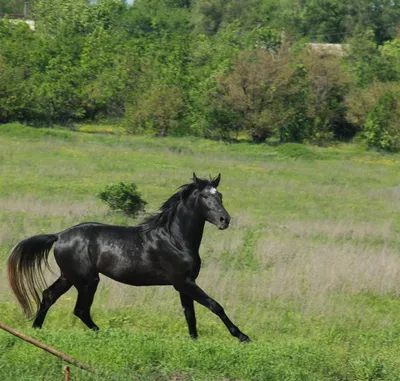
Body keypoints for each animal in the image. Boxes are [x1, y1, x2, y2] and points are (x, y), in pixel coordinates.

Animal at [7, 174, 250, 342]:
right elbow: (215, 306)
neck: (175, 239)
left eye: (220, 195)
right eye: (205, 196)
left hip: (69, 277)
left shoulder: (185, 284)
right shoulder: (183, 282)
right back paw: (101, 333)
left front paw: (195, 340)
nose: (224, 220)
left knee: (48, 296)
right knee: (80, 309)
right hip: (87, 281)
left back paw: (36, 331)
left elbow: (190, 314)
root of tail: (59, 236)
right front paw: (242, 336)